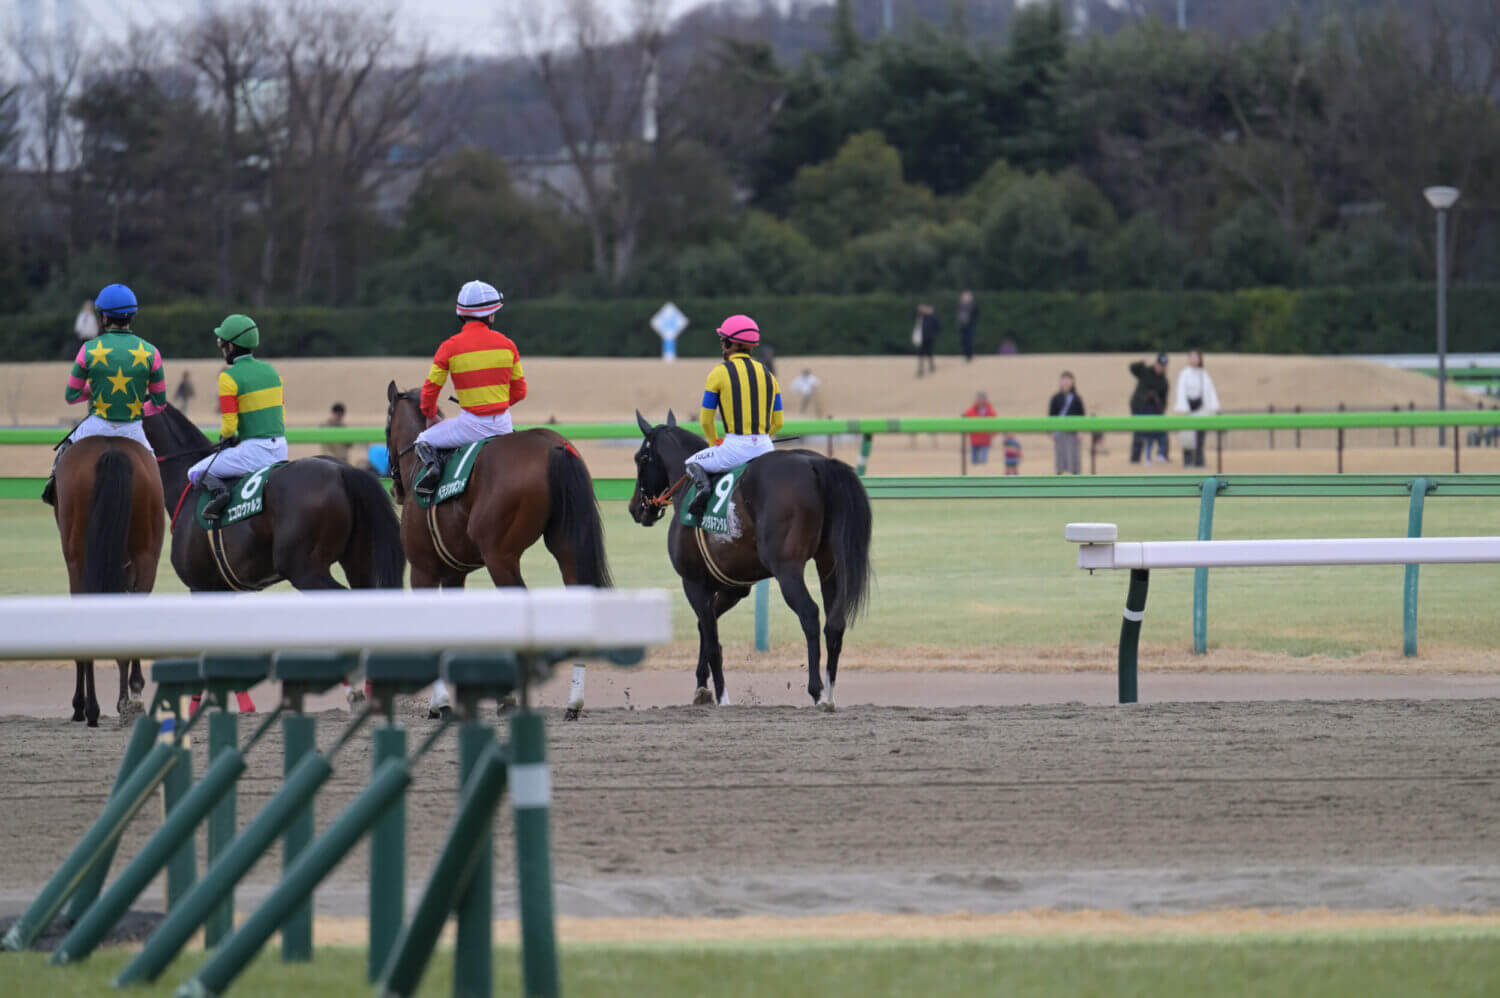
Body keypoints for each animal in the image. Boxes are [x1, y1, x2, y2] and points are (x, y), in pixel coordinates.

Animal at [52, 435, 162, 723]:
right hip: (146, 556)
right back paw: (129, 699)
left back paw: (91, 707)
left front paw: (80, 704)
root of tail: (111, 449)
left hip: (79, 558)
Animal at [627, 411, 876, 708]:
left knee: (809, 614)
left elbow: (712, 639)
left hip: (787, 569)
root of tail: (817, 463)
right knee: (834, 622)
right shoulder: (733, 588)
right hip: (829, 564)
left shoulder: (693, 582)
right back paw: (830, 692)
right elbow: (705, 628)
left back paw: (816, 692)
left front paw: (721, 695)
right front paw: (701, 688)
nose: (635, 508)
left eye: (640, 458)